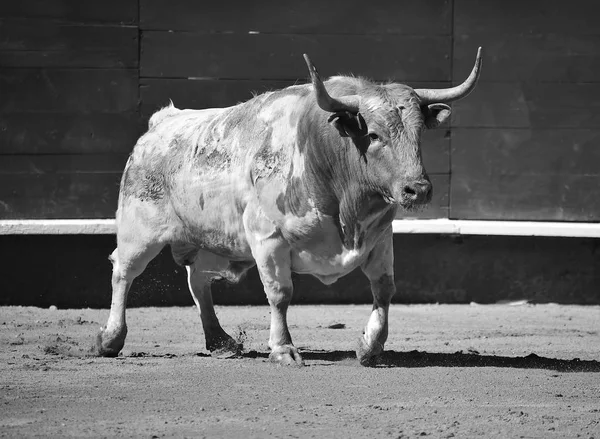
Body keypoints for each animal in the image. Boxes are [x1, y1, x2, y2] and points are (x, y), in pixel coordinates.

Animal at [98, 48, 482, 366]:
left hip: (209, 239)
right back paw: (110, 339)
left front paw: (370, 346)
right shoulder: (268, 238)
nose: (417, 190)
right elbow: (281, 294)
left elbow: (384, 290)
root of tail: (160, 124)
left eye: (419, 134)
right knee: (124, 272)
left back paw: (220, 341)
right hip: (138, 230)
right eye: (373, 135)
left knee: (198, 282)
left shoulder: (379, 238)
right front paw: (283, 349)